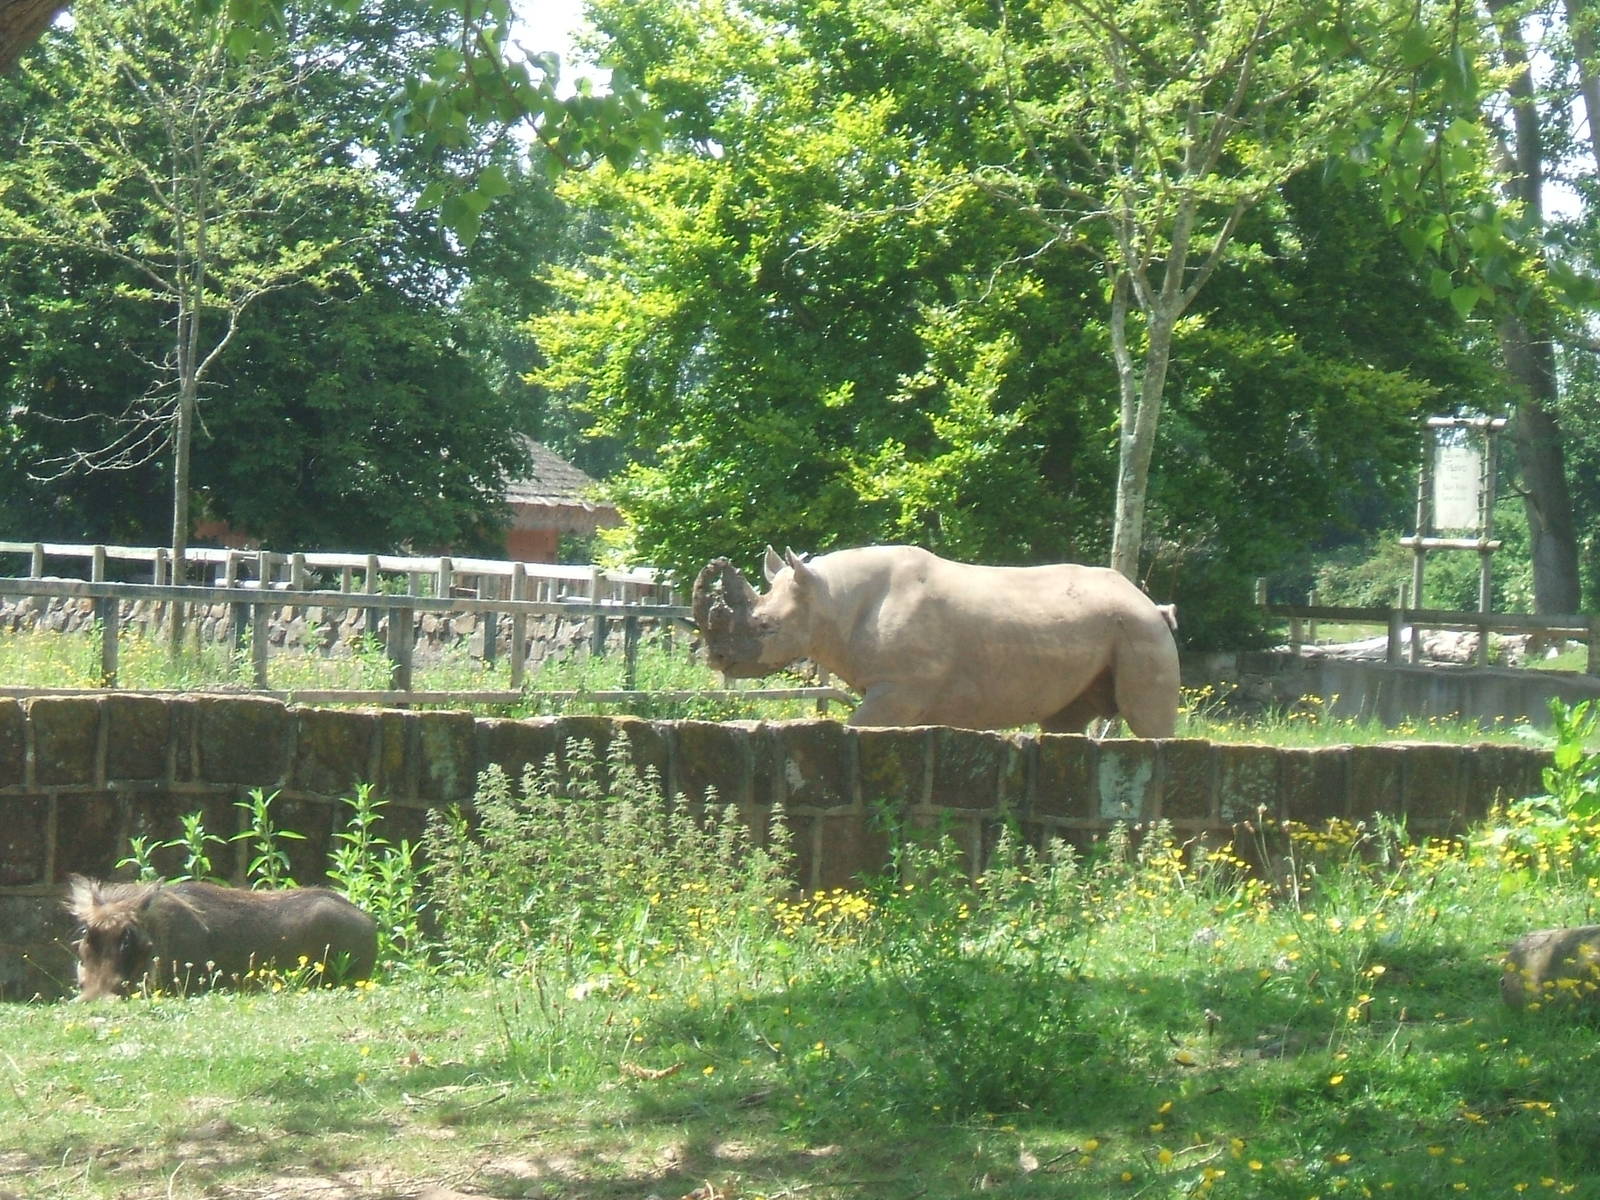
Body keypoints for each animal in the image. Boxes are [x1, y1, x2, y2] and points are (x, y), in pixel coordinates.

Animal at [692, 544, 1180, 735]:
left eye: (765, 628)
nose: (716, 657)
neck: (829, 598)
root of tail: (1149, 602)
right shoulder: (898, 690)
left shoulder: (900, 689)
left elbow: (858, 726)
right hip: (1111, 627)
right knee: (1064, 722)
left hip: (1141, 628)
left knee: (1148, 724)